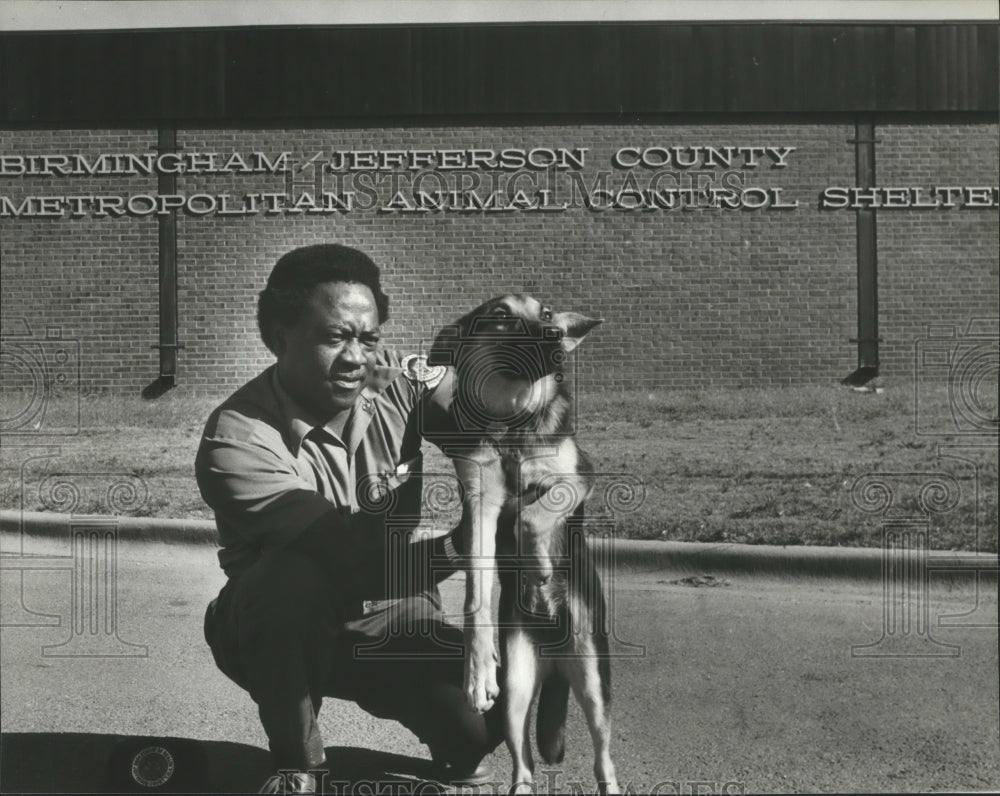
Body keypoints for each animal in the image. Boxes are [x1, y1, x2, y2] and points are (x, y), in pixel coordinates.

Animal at [424, 296, 616, 792]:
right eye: (501, 315)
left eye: (547, 313)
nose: (556, 337)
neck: (511, 421)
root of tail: (554, 664)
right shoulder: (480, 506)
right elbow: (475, 597)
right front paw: (476, 670)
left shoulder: (576, 476)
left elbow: (535, 512)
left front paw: (539, 565)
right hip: (516, 691)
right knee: (523, 762)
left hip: (593, 677)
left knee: (603, 760)